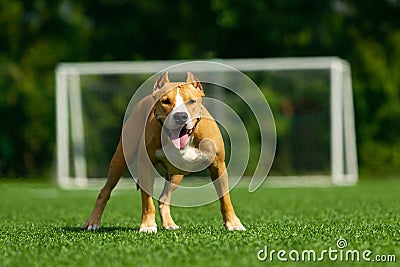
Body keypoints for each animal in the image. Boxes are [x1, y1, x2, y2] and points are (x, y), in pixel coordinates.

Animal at [83, 72, 245, 233]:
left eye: (191, 101)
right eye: (165, 101)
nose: (180, 116)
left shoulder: (218, 165)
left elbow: (225, 198)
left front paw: (233, 223)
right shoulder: (145, 165)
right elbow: (147, 200)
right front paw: (148, 226)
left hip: (176, 175)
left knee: (164, 198)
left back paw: (169, 223)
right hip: (120, 159)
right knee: (105, 191)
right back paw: (92, 222)